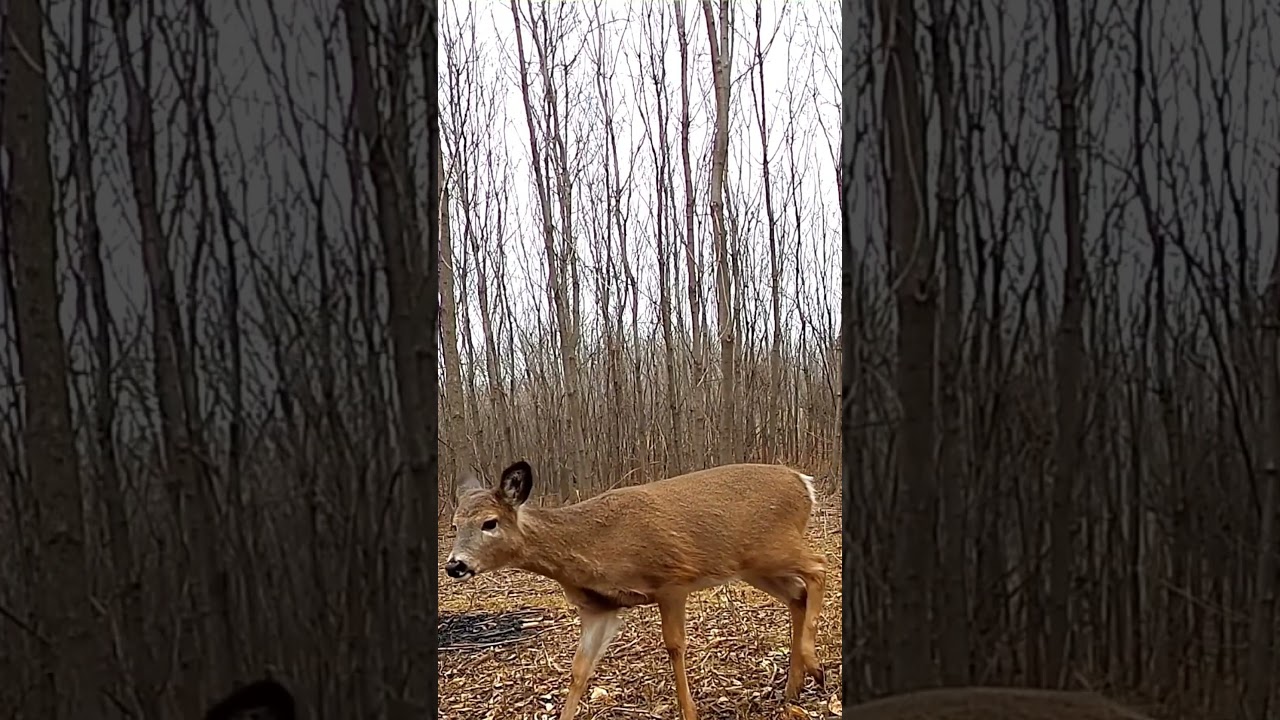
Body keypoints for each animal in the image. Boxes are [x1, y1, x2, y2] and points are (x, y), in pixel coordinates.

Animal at [444, 459, 828, 720]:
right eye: (454, 524)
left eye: (489, 523)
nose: (455, 565)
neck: (592, 546)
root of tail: (804, 483)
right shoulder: (600, 607)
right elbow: (579, 670)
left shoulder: (671, 579)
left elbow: (674, 647)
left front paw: (689, 711)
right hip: (754, 567)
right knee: (798, 594)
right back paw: (793, 688)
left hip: (773, 547)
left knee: (819, 566)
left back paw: (814, 666)